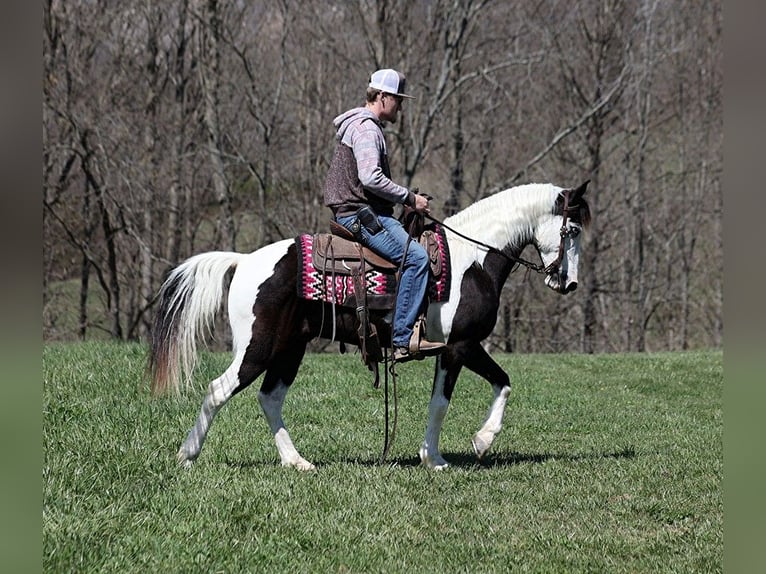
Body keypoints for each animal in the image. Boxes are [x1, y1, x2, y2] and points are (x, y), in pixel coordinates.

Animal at [150, 182, 592, 470]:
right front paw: (454, 452)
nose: (568, 282)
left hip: (290, 348)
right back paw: (187, 455)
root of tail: (243, 261)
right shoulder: (460, 346)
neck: (473, 260)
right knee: (218, 390)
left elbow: (488, 387)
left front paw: (458, 449)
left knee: (270, 398)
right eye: (571, 230)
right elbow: (459, 396)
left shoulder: (458, 349)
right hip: (257, 348)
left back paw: (297, 462)